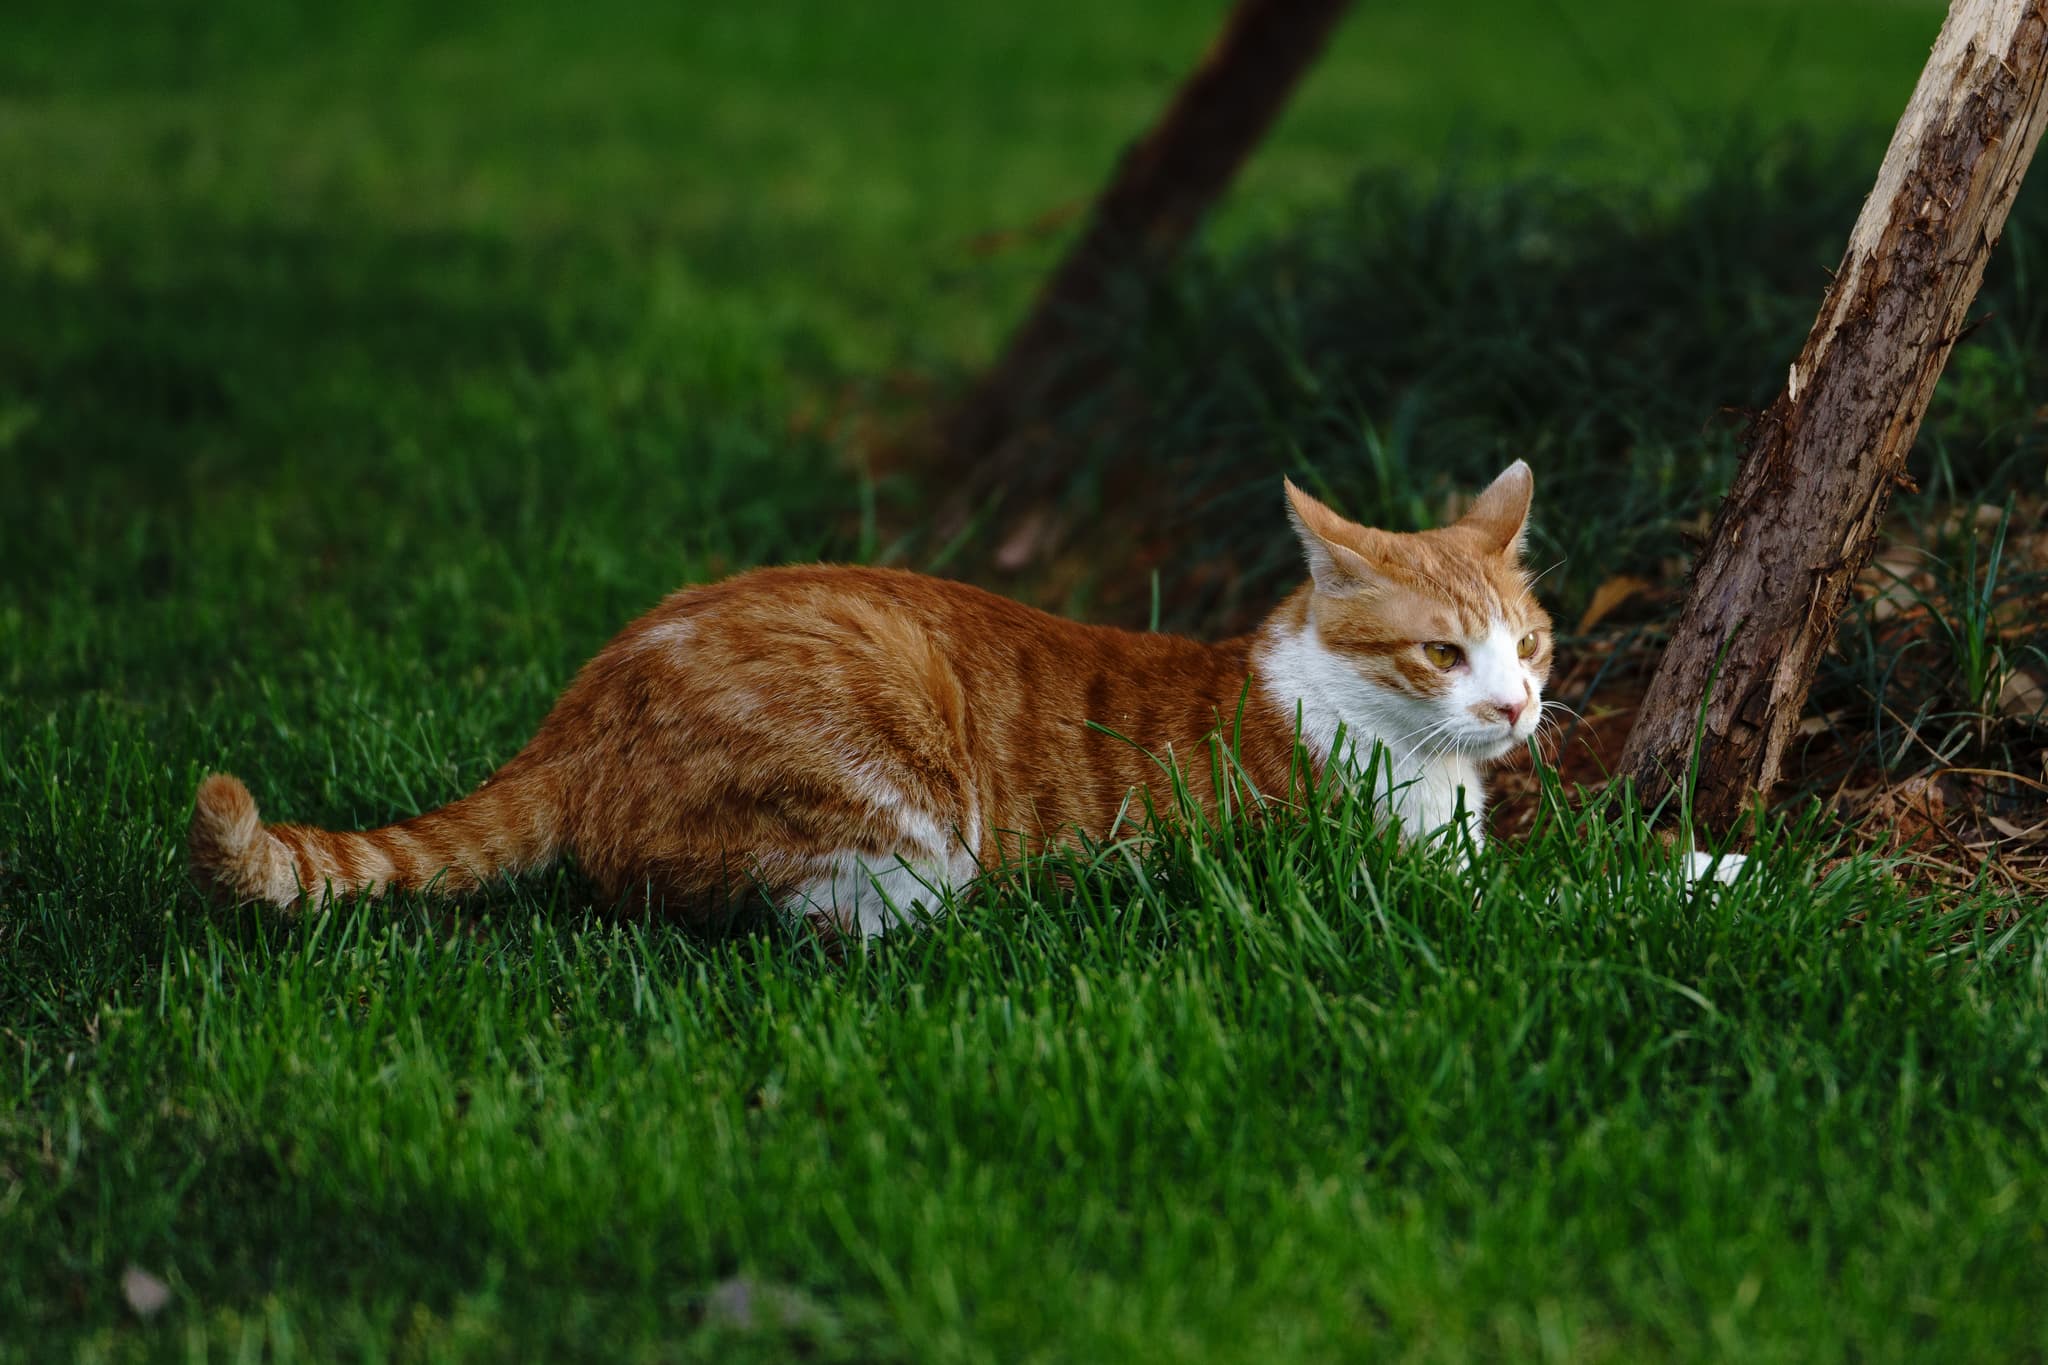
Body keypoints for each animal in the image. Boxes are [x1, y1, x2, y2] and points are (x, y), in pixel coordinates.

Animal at [199, 464, 1556, 933]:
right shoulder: (1374, 861)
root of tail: (579, 705)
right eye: (1443, 655)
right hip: (892, 794)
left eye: (1532, 645)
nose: (1515, 713)